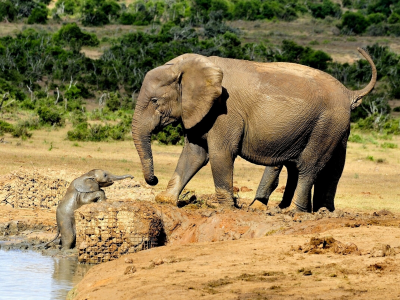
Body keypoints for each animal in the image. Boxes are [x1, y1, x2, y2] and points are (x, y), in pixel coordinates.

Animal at [133, 48, 376, 211]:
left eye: (154, 101)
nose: (153, 180)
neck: (188, 66)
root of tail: (349, 93)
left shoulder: (224, 112)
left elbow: (220, 154)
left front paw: (225, 209)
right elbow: (194, 155)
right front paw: (165, 200)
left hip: (326, 124)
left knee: (309, 166)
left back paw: (293, 212)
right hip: (333, 127)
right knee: (330, 168)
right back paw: (319, 211)